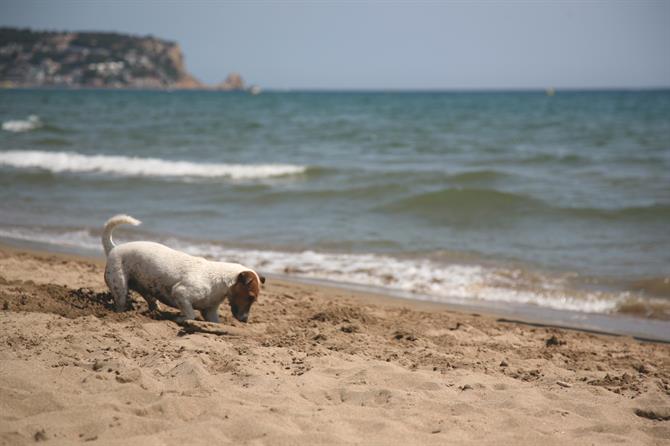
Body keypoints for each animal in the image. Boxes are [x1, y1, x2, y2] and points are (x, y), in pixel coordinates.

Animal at [102, 214, 266, 322]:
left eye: (254, 299)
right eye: (250, 297)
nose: (245, 320)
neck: (220, 281)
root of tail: (114, 248)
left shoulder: (210, 312)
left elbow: (214, 321)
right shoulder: (181, 293)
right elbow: (191, 315)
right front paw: (182, 319)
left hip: (147, 290)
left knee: (153, 303)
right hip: (120, 287)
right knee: (120, 303)